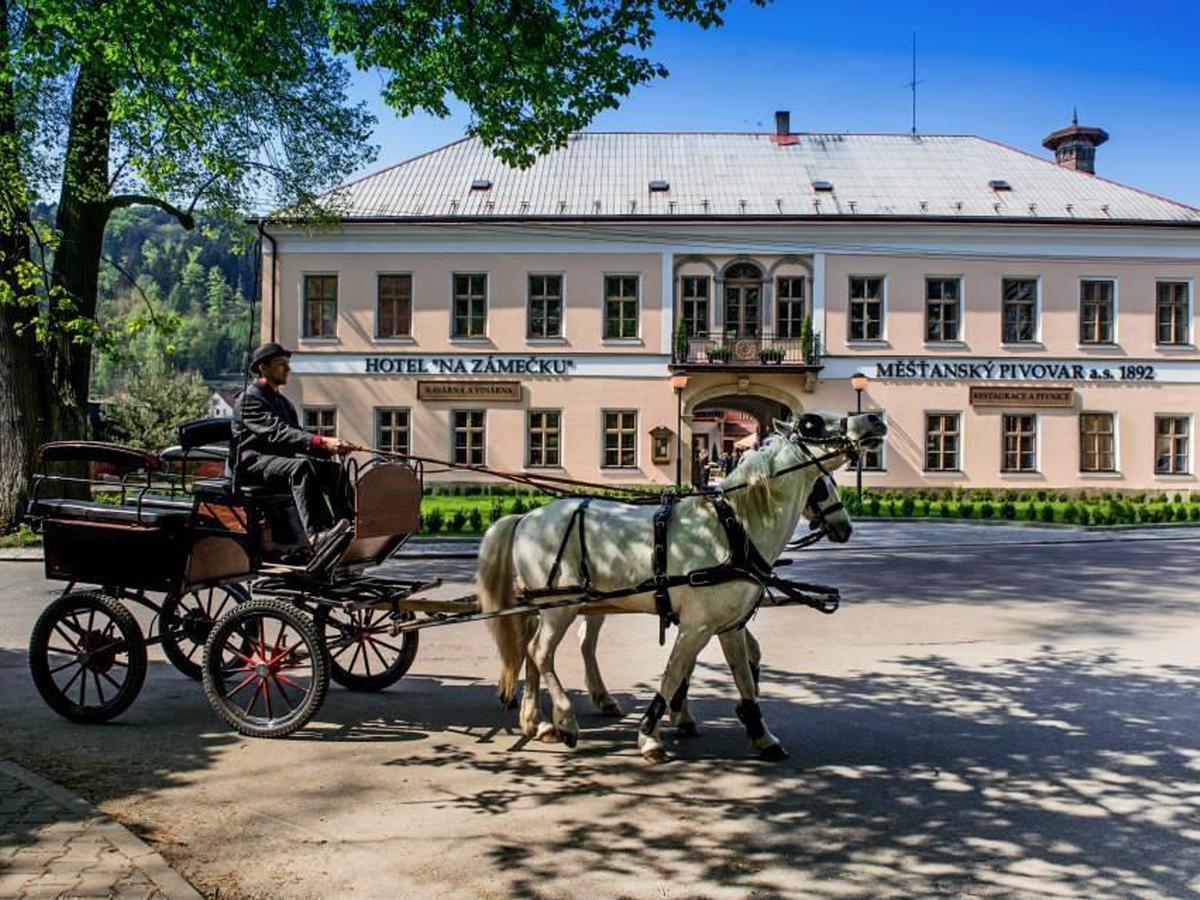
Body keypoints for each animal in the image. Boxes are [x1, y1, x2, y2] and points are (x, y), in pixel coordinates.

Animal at [475, 412, 883, 763]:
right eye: (812, 423)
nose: (874, 419)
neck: (732, 528)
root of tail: (526, 516)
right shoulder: (696, 625)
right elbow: (674, 673)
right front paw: (650, 734)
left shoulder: (728, 625)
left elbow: (743, 676)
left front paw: (760, 732)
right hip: (560, 605)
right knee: (539, 652)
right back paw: (564, 720)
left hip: (559, 605)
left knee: (542, 650)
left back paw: (540, 721)